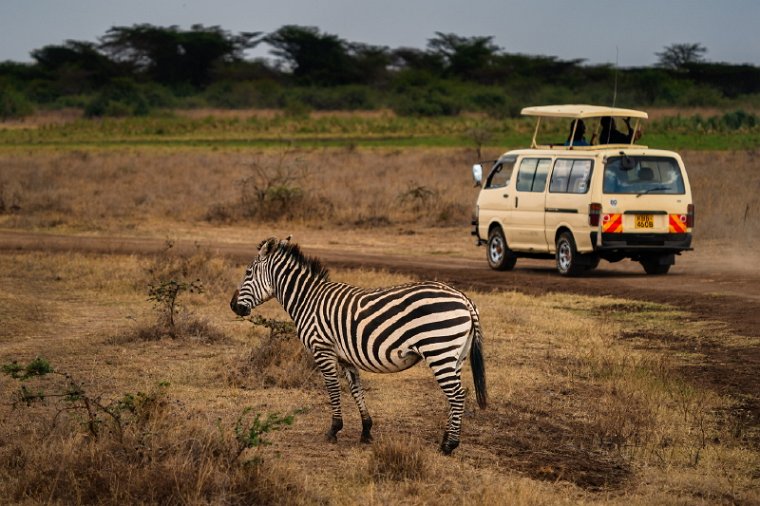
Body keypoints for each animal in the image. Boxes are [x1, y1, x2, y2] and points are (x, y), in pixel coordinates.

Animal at [229, 237, 486, 454]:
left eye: (248, 272)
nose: (233, 306)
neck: (307, 300)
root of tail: (464, 298)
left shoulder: (323, 350)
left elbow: (333, 389)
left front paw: (334, 430)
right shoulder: (346, 357)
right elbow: (355, 389)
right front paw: (366, 430)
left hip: (438, 349)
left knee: (456, 395)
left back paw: (450, 445)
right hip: (456, 355)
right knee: (456, 394)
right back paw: (445, 439)